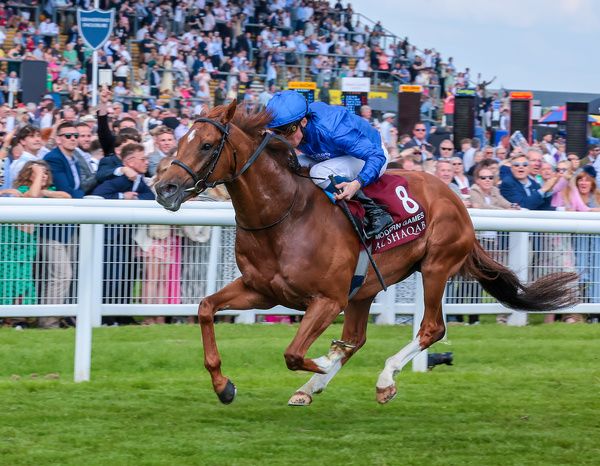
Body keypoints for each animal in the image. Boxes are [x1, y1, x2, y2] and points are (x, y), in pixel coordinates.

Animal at [155, 101, 576, 404]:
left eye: (207, 145)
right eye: (180, 141)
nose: (163, 188)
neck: (283, 215)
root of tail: (455, 197)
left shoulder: (327, 299)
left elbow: (293, 353)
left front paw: (324, 359)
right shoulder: (261, 289)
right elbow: (205, 308)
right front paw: (223, 385)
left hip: (435, 266)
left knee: (432, 327)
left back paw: (384, 379)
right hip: (365, 288)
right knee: (357, 338)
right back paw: (310, 388)